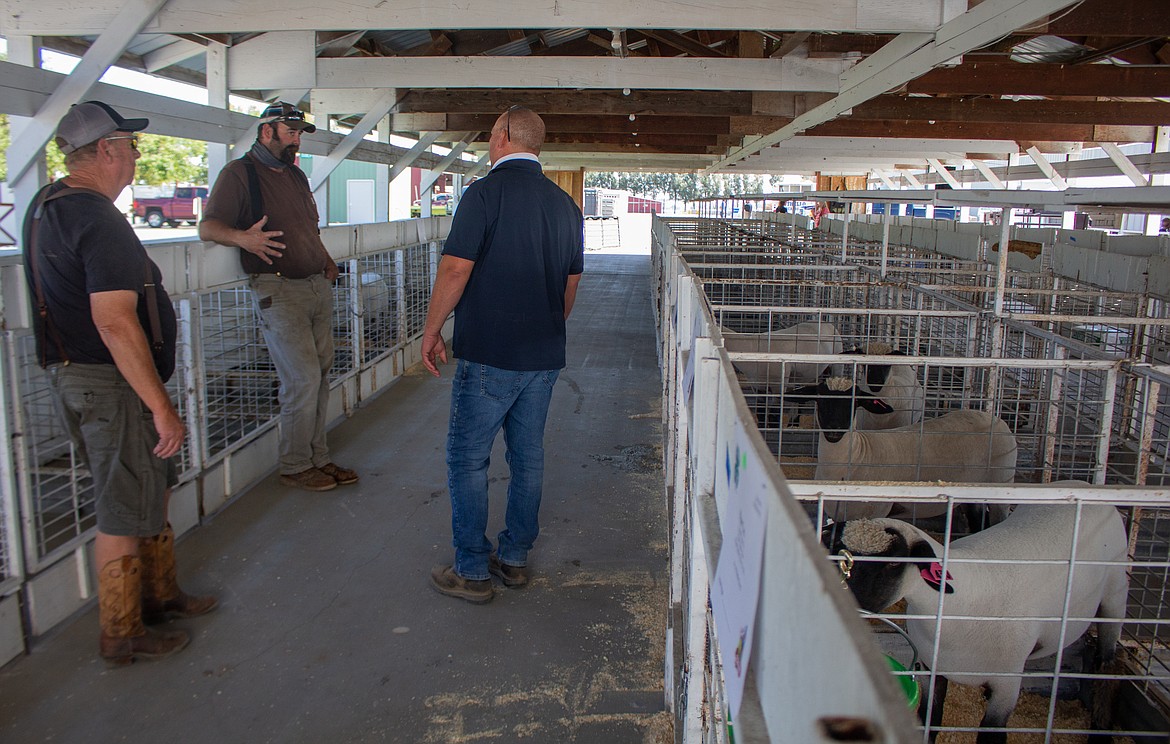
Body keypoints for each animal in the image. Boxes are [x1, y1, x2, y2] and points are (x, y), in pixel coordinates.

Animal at [790, 374, 1020, 519]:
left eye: (855, 403)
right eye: (820, 400)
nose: (834, 430)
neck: (858, 456)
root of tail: (996, 419)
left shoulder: (873, 514)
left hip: (1002, 486)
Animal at [819, 500, 1127, 744]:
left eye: (895, 563)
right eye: (838, 551)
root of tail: (1083, 483)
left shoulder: (1008, 686)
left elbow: (990, 735)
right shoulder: (931, 667)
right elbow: (931, 719)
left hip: (1115, 595)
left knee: (1107, 665)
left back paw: (1100, 731)